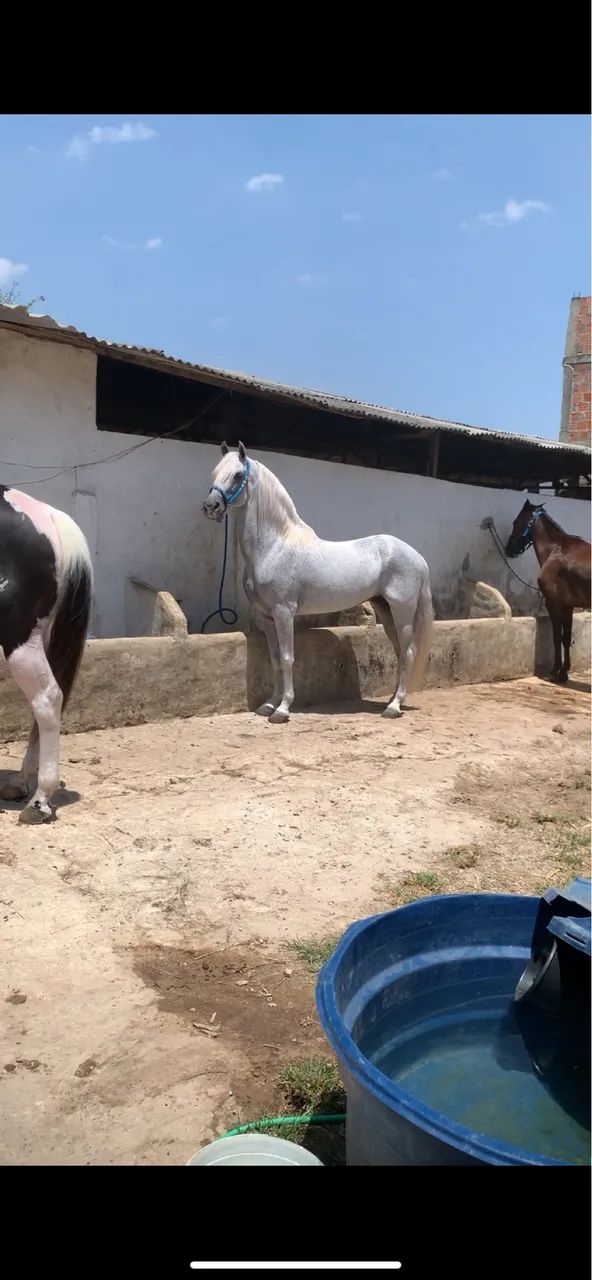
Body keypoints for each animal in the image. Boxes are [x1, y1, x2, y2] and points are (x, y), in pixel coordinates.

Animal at [203, 443, 433, 722]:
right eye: (215, 472)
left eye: (237, 475)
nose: (211, 506)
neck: (274, 547)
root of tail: (418, 556)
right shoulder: (267, 617)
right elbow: (275, 659)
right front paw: (269, 704)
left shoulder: (284, 612)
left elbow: (288, 658)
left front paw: (283, 709)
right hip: (385, 609)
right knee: (400, 652)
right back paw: (391, 701)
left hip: (403, 612)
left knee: (409, 653)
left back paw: (394, 707)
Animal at [505, 500, 591, 683]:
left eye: (516, 522)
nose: (509, 549)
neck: (557, 549)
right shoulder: (568, 606)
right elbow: (566, 638)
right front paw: (564, 672)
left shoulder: (553, 603)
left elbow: (557, 637)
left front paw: (555, 672)